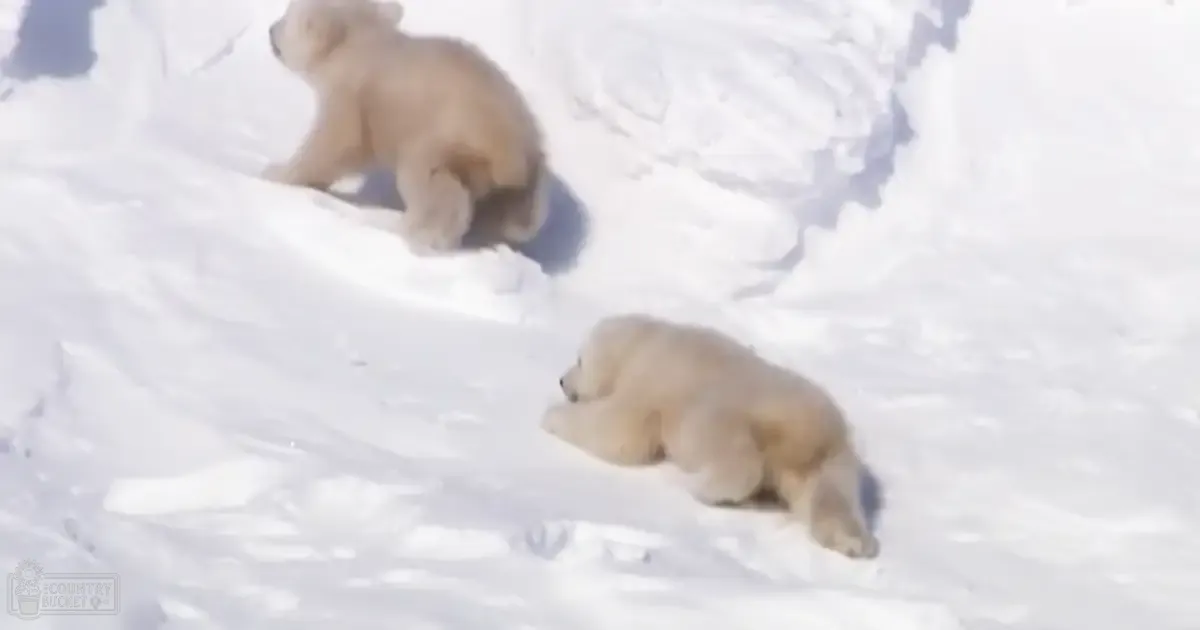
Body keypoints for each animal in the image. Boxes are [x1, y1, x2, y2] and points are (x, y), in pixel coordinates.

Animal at [263, 0, 550, 254]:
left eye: (287, 18)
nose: (270, 30)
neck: (362, 44)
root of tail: (515, 154)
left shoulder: (353, 97)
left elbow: (335, 143)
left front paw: (275, 172)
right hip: (524, 179)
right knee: (516, 216)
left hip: (451, 138)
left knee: (429, 181)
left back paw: (418, 233)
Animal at [541, 313, 879, 559]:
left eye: (580, 359)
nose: (561, 380)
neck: (645, 343)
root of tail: (805, 431)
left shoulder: (652, 382)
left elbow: (621, 432)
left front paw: (551, 416)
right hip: (831, 458)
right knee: (831, 496)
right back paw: (853, 542)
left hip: (730, 413)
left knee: (734, 458)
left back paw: (707, 488)